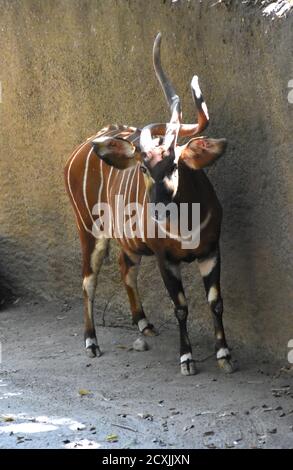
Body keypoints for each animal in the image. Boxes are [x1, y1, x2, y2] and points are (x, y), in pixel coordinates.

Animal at [64, 33, 233, 374]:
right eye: (143, 167)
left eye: (175, 163)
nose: (158, 208)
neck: (186, 228)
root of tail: (76, 153)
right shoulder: (164, 257)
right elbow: (180, 306)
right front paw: (186, 358)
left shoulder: (211, 249)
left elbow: (215, 300)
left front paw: (224, 355)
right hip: (88, 230)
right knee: (88, 280)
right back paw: (91, 342)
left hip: (127, 243)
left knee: (124, 266)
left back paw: (144, 323)